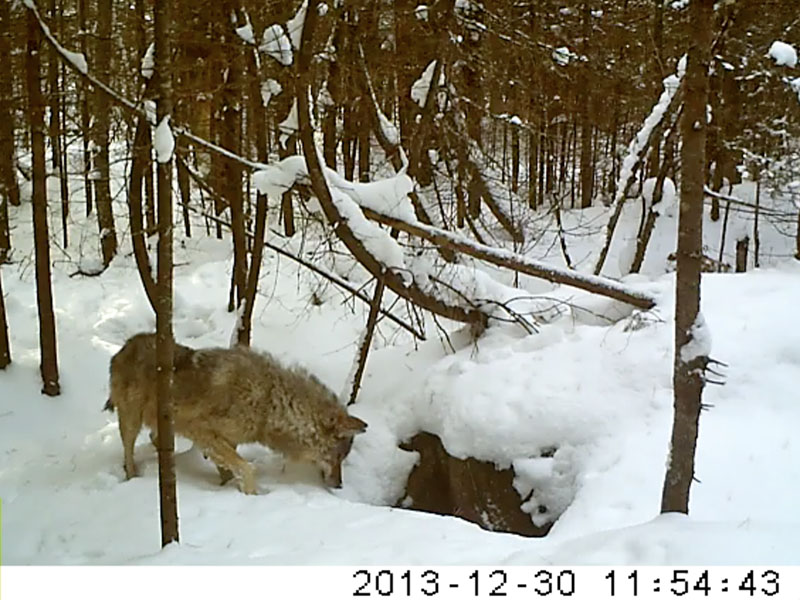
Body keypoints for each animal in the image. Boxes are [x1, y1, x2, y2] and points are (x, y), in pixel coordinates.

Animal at [105, 332, 367, 494]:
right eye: (337, 458)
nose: (339, 486)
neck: (270, 402)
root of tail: (123, 347)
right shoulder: (201, 431)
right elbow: (246, 468)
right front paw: (251, 494)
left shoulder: (226, 441)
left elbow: (230, 469)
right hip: (131, 421)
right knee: (128, 452)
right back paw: (133, 476)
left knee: (154, 437)